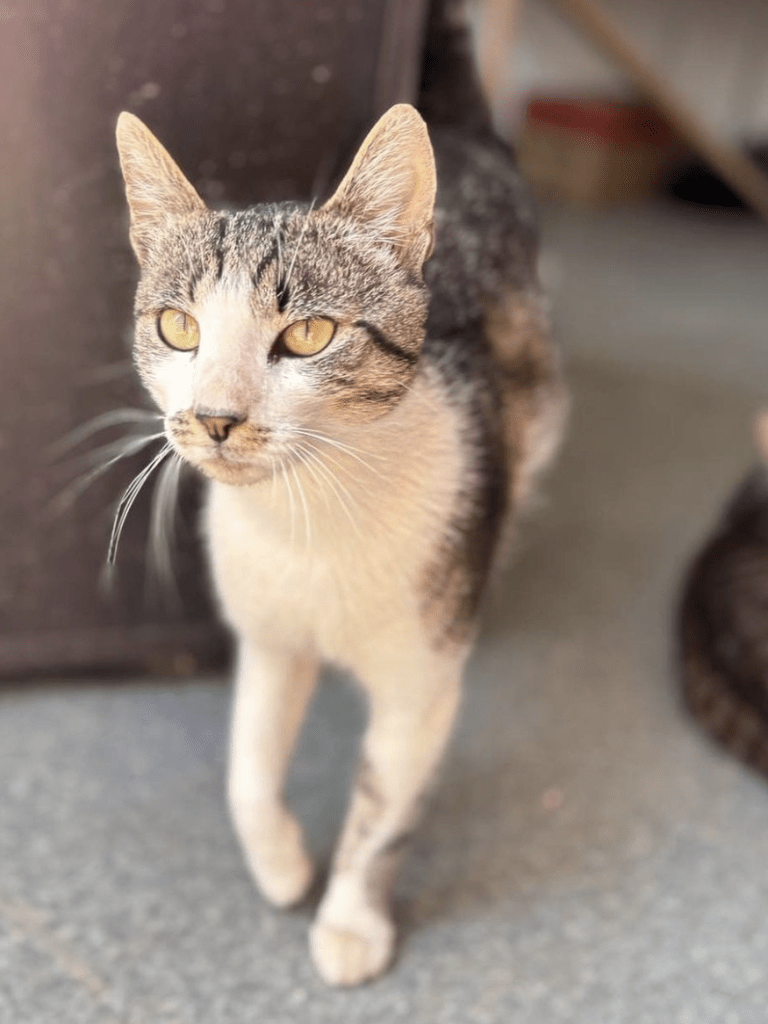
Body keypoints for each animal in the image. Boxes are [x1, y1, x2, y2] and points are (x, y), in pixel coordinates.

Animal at [117, 2, 569, 991]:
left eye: (309, 336)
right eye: (177, 326)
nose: (215, 417)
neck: (308, 523)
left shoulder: (421, 684)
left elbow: (381, 810)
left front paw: (352, 921)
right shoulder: (267, 634)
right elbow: (245, 770)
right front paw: (283, 862)